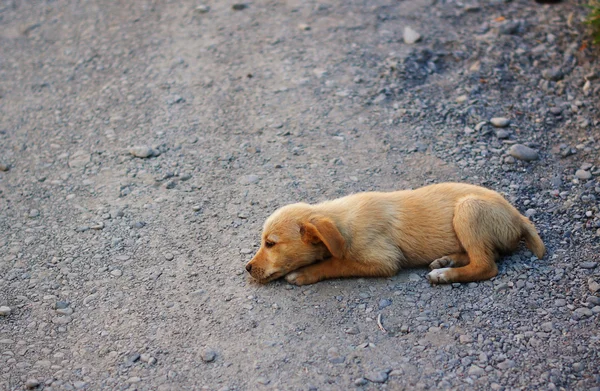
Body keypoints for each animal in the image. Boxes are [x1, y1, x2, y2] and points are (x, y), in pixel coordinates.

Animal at [246, 182, 548, 286]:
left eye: (270, 243)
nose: (247, 269)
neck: (341, 222)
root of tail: (518, 216)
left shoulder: (383, 260)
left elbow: (336, 263)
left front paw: (304, 273)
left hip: (468, 209)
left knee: (487, 265)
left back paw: (445, 274)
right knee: (486, 254)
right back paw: (446, 260)